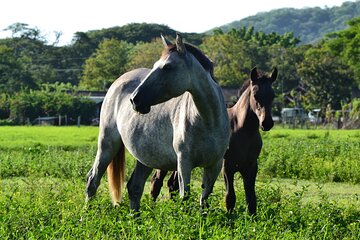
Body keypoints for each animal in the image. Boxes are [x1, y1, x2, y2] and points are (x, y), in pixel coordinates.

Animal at [86, 33, 229, 212]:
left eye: (167, 67)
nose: (134, 100)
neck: (208, 120)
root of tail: (117, 83)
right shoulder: (184, 163)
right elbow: (185, 197)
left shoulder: (214, 165)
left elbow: (204, 200)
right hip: (107, 145)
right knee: (93, 179)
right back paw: (86, 213)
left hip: (145, 158)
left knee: (135, 187)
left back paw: (134, 218)